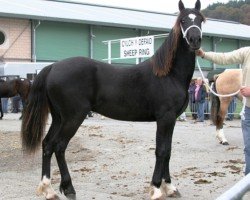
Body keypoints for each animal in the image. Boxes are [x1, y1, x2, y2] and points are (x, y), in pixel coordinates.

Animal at [21, 0, 205, 199]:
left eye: (200, 20)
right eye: (183, 20)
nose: (195, 40)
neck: (169, 74)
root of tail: (53, 67)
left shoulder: (171, 120)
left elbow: (168, 151)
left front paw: (170, 187)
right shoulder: (165, 118)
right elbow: (161, 151)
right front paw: (156, 188)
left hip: (59, 118)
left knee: (47, 144)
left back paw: (48, 189)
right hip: (73, 118)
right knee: (59, 146)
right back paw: (68, 188)